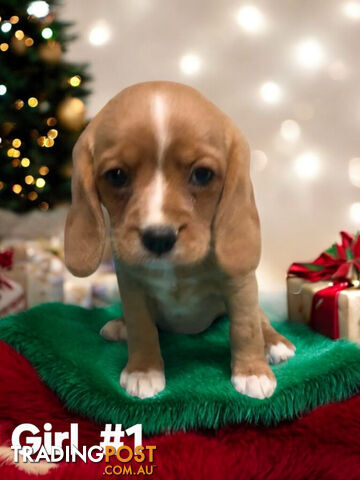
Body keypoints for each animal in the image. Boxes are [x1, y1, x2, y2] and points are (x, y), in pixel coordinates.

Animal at [64, 81, 296, 402]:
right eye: (117, 175)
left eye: (202, 174)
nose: (159, 238)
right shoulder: (132, 287)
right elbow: (142, 329)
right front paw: (143, 370)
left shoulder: (241, 287)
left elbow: (245, 328)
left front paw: (252, 372)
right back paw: (119, 326)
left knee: (261, 319)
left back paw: (275, 343)